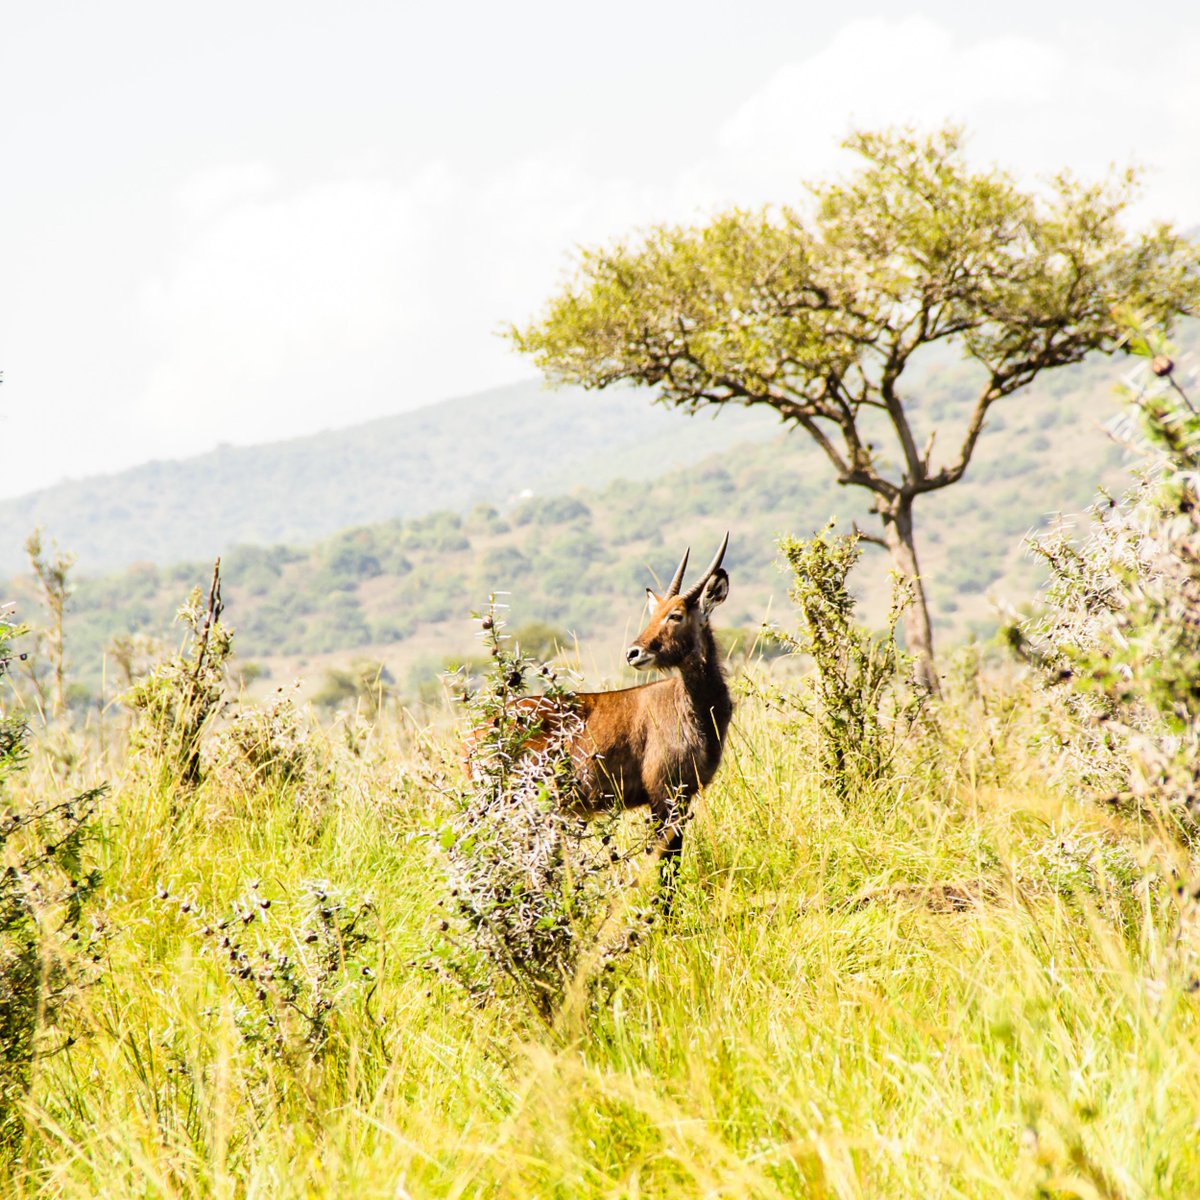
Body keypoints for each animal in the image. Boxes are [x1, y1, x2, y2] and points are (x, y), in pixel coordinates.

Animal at [481, 534, 733, 902]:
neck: (697, 710)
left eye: (675, 614)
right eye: (655, 613)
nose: (633, 652)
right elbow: (666, 868)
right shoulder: (664, 795)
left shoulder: (684, 796)